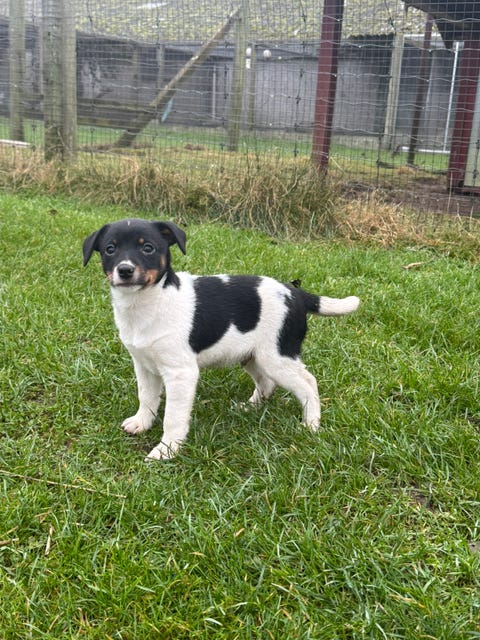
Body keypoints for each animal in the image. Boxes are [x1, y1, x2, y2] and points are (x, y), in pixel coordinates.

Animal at [83, 219, 360, 460]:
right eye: (110, 249)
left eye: (147, 248)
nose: (125, 270)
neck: (149, 302)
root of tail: (295, 293)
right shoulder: (144, 365)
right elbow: (146, 398)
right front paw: (142, 423)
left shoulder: (180, 373)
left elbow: (173, 416)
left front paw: (167, 450)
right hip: (252, 356)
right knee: (266, 383)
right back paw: (250, 407)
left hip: (278, 357)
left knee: (308, 384)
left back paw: (311, 424)